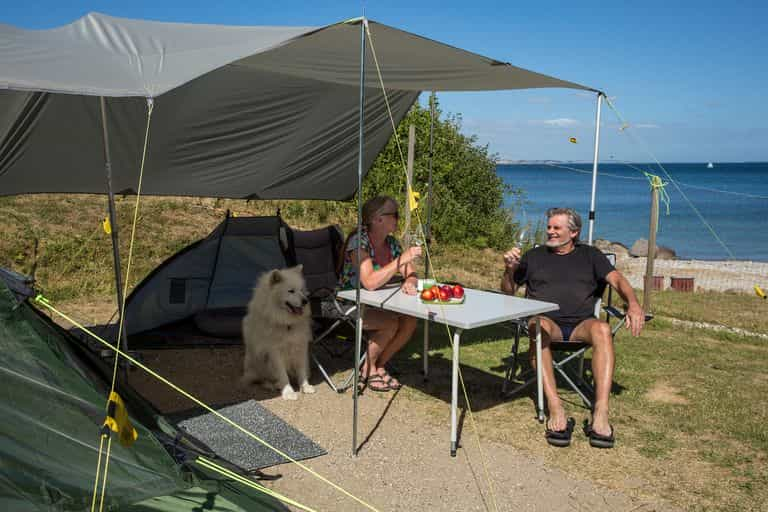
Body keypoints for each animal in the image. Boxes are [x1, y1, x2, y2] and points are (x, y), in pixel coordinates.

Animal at [238, 266, 314, 402]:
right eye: (291, 291)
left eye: (301, 290)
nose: (305, 301)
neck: (285, 323)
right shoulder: (275, 351)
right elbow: (283, 374)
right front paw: (288, 392)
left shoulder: (300, 346)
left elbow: (302, 370)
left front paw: (305, 386)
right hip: (256, 362)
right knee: (262, 379)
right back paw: (273, 385)